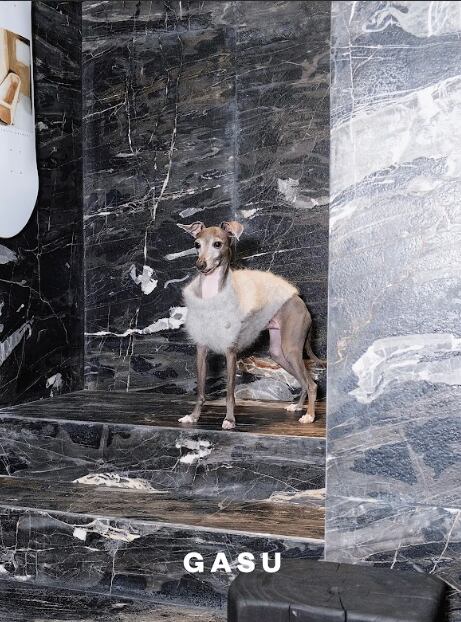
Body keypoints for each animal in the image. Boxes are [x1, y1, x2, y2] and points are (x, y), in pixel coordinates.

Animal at [177, 220, 320, 430]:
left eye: (218, 244)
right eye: (197, 244)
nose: (200, 265)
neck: (212, 298)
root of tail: (298, 299)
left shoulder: (230, 352)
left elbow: (229, 393)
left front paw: (229, 420)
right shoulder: (201, 350)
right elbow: (201, 391)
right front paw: (193, 416)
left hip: (291, 349)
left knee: (311, 384)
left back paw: (309, 415)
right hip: (279, 353)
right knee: (302, 380)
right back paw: (298, 406)